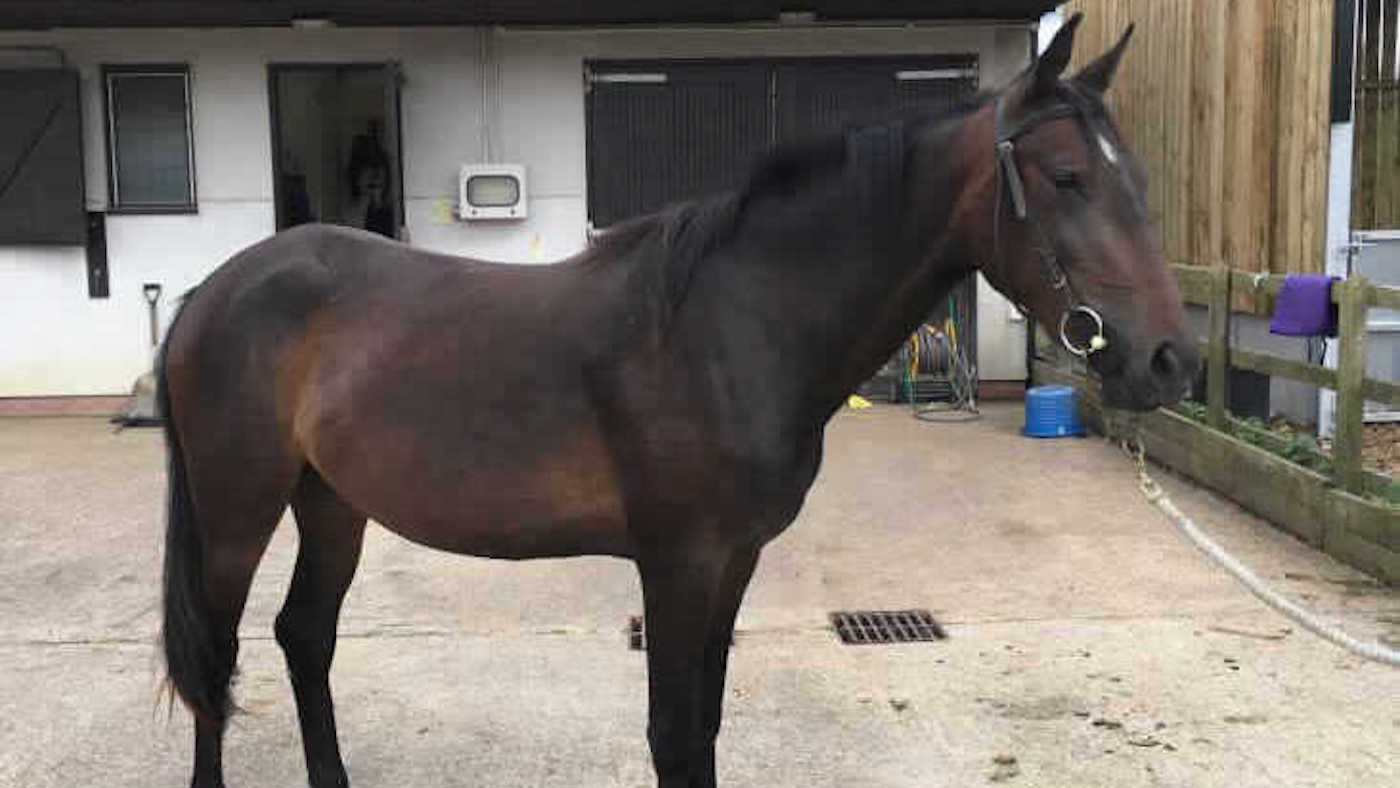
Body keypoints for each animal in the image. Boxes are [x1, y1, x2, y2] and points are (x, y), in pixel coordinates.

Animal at [158, 16, 1195, 788]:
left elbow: (704, 731)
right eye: (1068, 178)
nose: (1169, 359)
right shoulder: (676, 564)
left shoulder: (732, 563)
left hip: (332, 503)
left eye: (1139, 181)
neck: (731, 324)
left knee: (303, 637)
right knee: (217, 655)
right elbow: (671, 737)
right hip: (238, 512)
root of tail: (213, 291)